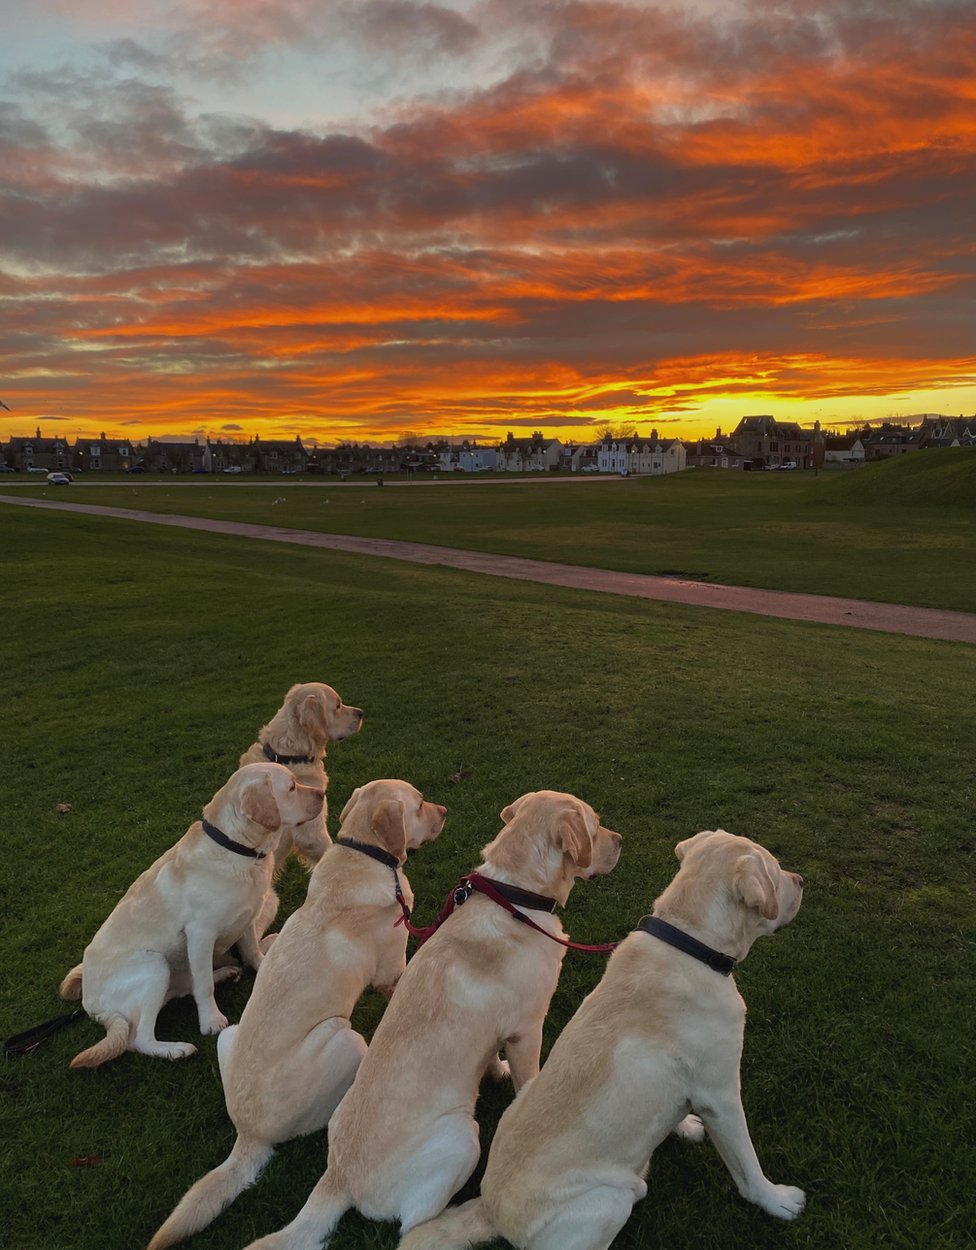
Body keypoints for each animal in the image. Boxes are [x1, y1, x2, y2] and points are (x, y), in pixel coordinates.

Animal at [147, 780, 444, 1250]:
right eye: (418, 805)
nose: (445, 811)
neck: (363, 854)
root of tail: (249, 1133)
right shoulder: (392, 971)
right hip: (344, 1036)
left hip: (230, 1034)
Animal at [236, 790, 619, 1250]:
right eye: (595, 827)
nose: (620, 840)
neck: (516, 896)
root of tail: (337, 1179)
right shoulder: (527, 1030)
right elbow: (528, 1079)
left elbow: (491, 1058)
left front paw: (495, 1070)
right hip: (463, 1137)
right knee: (414, 1227)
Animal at [399, 830, 804, 1250]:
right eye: (776, 873)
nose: (802, 881)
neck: (689, 942)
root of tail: (487, 1209)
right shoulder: (721, 1093)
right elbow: (746, 1162)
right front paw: (777, 1200)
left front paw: (685, 1126)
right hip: (608, 1201)